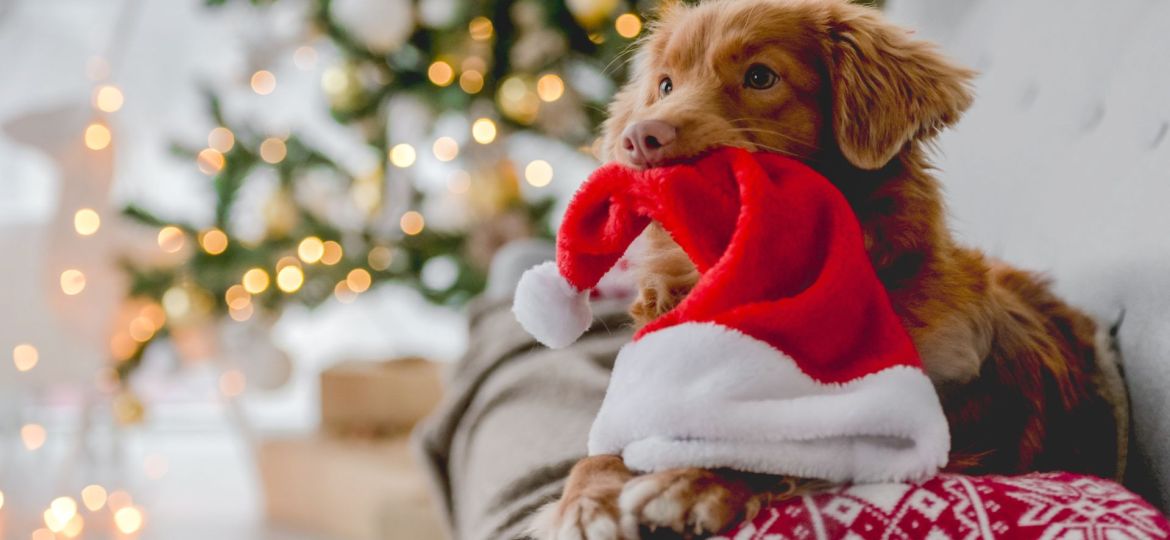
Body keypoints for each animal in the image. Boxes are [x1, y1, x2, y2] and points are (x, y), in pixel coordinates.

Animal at [535, 1, 1127, 535]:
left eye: (760, 77)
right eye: (664, 85)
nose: (640, 137)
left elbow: (789, 446)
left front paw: (690, 482)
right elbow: (597, 456)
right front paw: (584, 503)